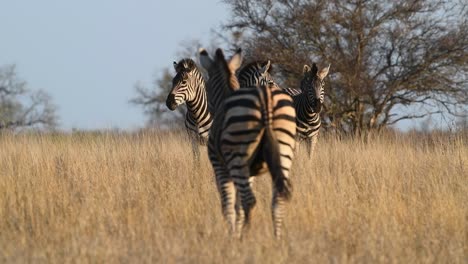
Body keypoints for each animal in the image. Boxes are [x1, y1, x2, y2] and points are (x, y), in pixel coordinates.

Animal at [200, 48, 296, 239]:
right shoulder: (250, 173)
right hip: (283, 152)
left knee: (249, 200)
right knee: (277, 199)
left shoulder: (219, 166)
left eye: (207, 85)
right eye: (271, 81)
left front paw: (232, 235)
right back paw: (277, 239)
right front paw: (236, 231)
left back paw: (245, 238)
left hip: (238, 157)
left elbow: (228, 204)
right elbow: (238, 205)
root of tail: (265, 98)